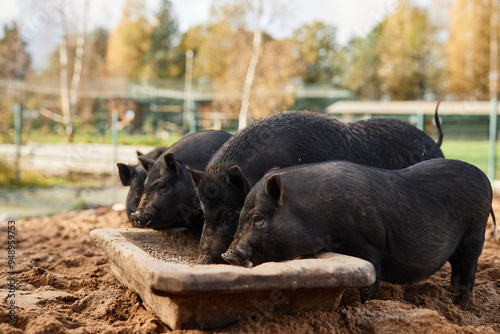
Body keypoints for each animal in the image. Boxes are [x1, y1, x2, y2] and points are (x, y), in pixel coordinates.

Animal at [223, 159, 500, 308]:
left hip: (475, 233)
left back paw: (462, 306)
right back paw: (450, 296)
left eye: (257, 219)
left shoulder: (371, 246)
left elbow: (370, 284)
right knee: (456, 268)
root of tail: (486, 179)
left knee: (469, 270)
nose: (228, 255)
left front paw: (367, 306)